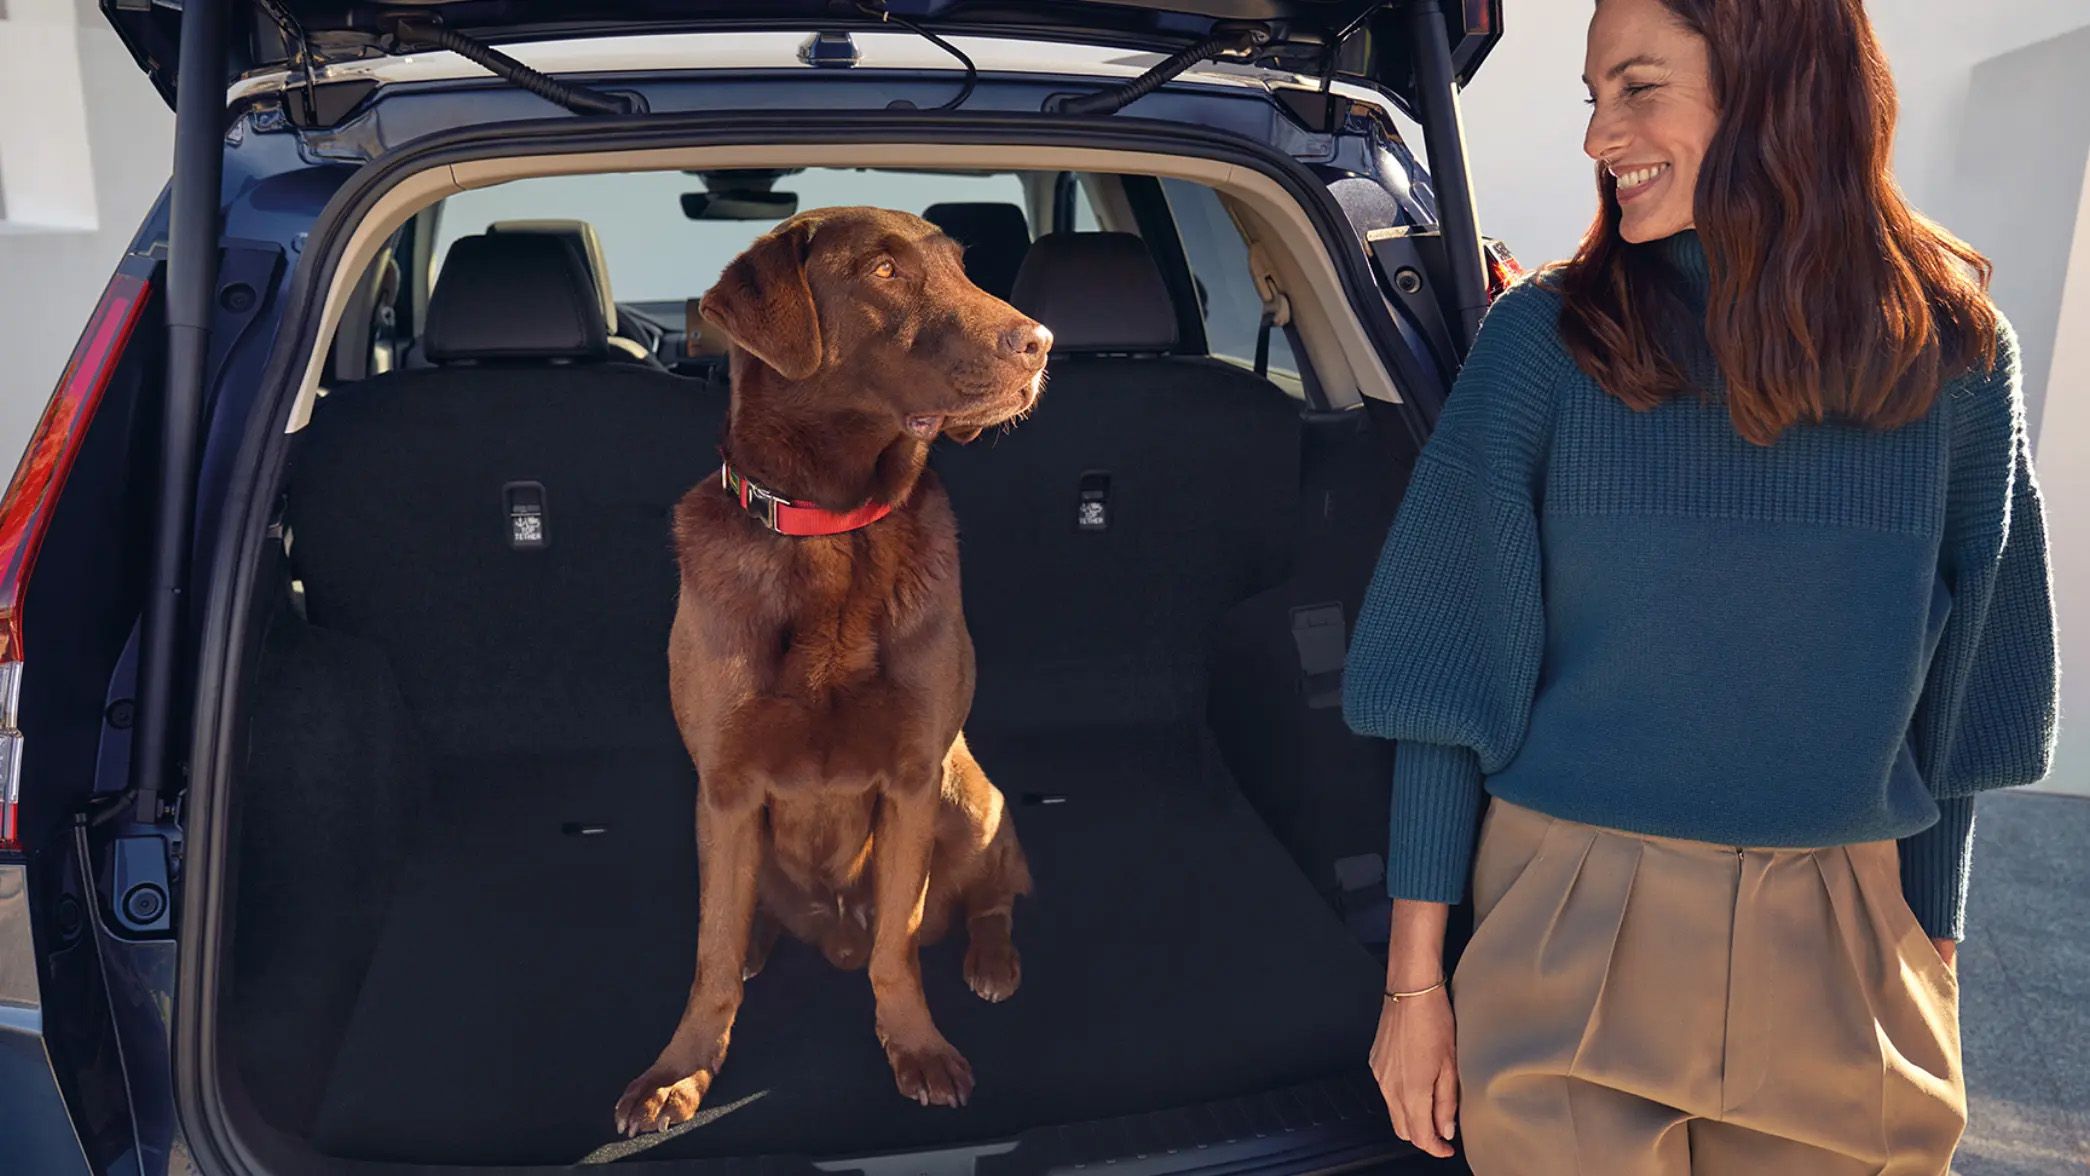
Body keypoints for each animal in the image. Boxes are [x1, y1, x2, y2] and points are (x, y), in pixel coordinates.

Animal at [613, 208, 1049, 1137]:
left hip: (970, 795)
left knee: (990, 895)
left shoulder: (916, 777)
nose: (1041, 342)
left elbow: (897, 948)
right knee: (743, 919)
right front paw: (680, 1070)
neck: (831, 530)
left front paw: (916, 1047)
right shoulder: (727, 789)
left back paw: (992, 962)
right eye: (884, 272)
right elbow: (709, 951)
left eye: (963, 268)